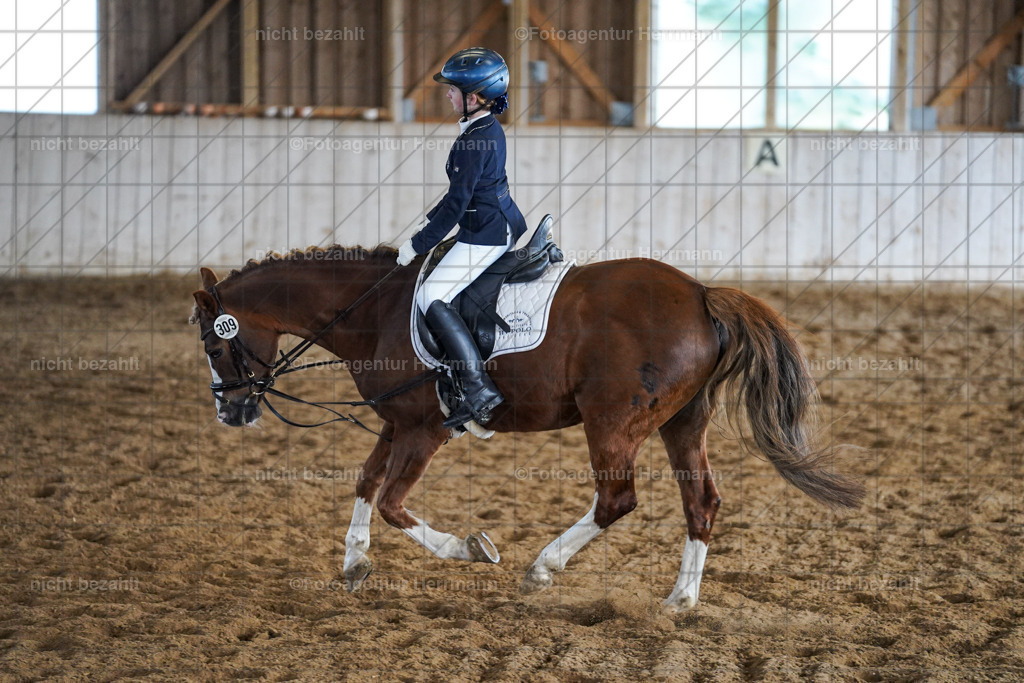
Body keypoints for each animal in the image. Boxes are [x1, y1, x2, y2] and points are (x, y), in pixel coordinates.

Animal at [189, 244, 864, 612]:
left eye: (216, 347)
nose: (230, 412)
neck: (375, 310)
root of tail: (700, 292)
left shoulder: (426, 429)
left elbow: (393, 503)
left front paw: (471, 549)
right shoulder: (397, 422)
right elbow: (364, 485)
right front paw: (354, 564)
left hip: (612, 421)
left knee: (617, 499)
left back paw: (542, 569)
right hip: (681, 423)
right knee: (701, 502)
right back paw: (679, 601)